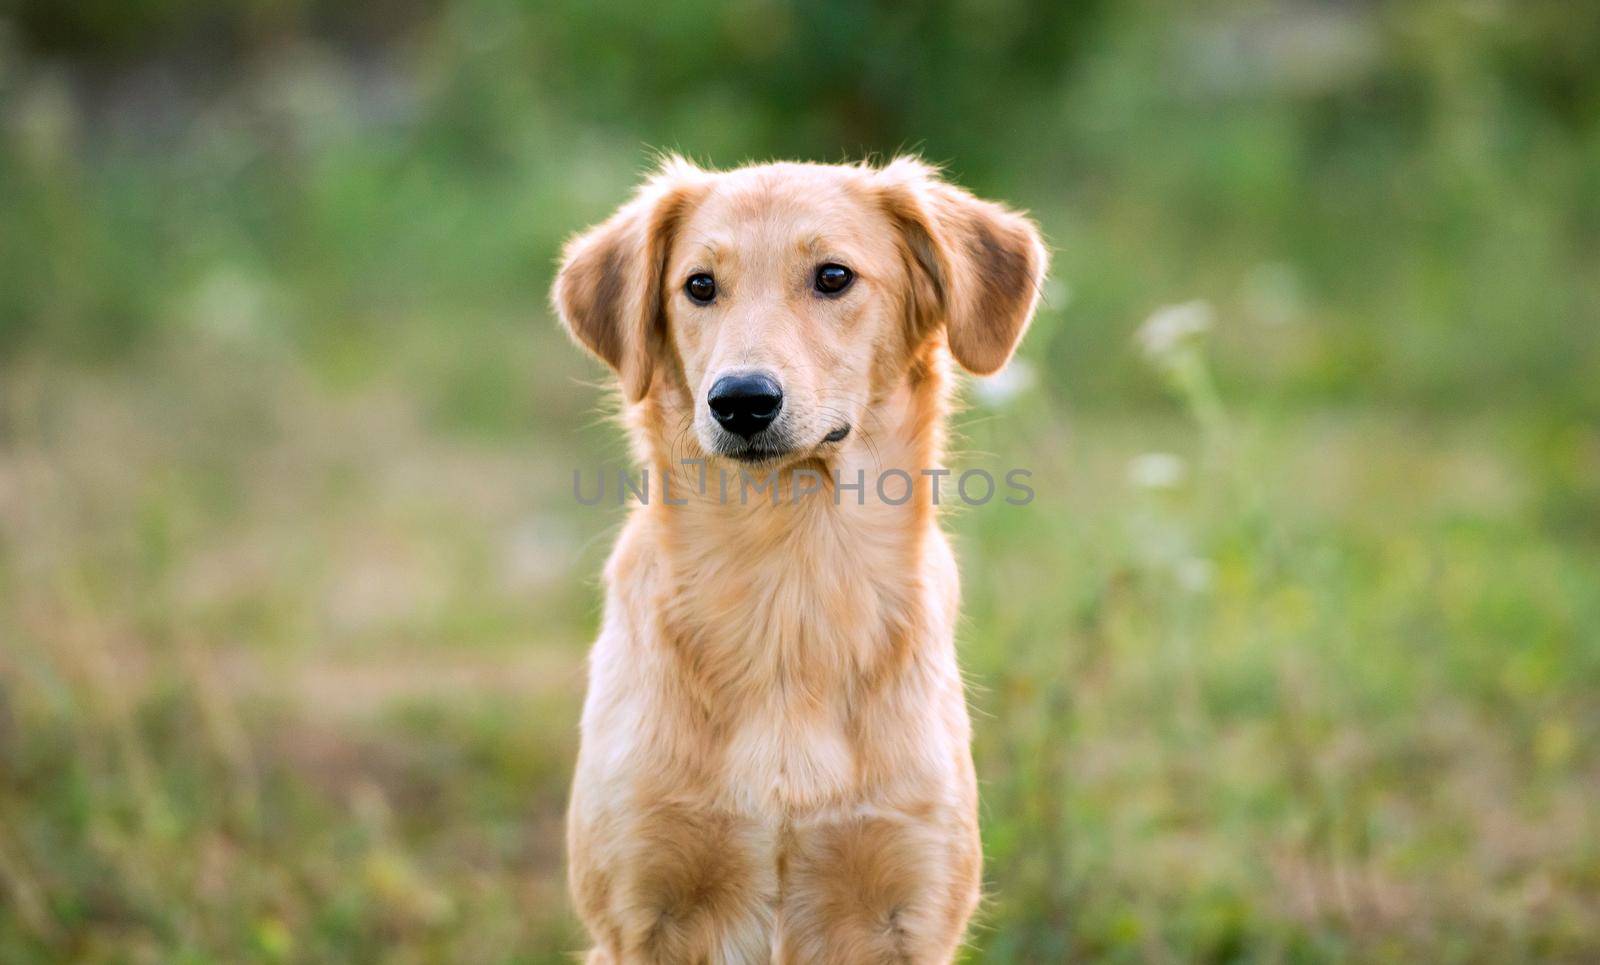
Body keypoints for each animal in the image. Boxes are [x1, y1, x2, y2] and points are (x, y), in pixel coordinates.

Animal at [550, 154, 1049, 960]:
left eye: (833, 276)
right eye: (699, 285)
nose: (741, 401)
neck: (789, 586)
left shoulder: (914, 906)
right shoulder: (636, 910)